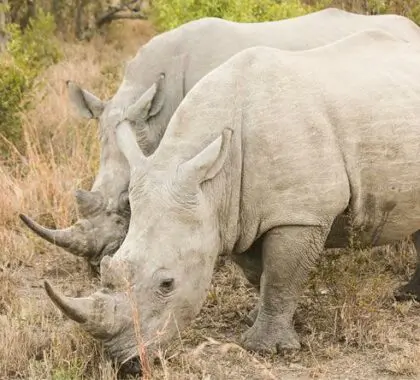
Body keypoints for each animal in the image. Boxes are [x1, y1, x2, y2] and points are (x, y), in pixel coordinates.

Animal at [38, 30, 420, 372]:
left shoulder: (300, 213)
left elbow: (281, 275)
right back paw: (408, 295)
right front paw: (258, 317)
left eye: (167, 284)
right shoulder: (234, 214)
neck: (214, 182)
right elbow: (258, 271)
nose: (125, 363)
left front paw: (266, 348)